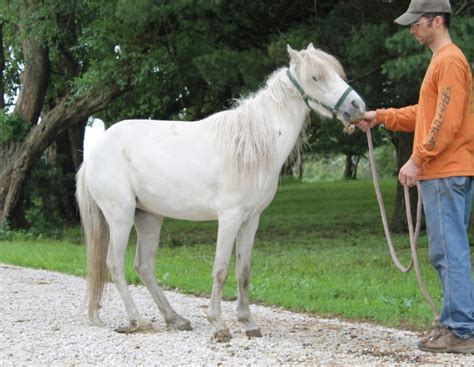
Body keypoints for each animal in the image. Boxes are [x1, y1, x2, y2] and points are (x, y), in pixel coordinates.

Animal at [75, 44, 366, 344]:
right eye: (316, 77)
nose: (357, 106)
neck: (252, 144)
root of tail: (93, 152)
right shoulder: (229, 218)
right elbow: (221, 269)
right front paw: (219, 324)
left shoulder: (251, 220)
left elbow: (243, 270)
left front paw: (248, 322)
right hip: (120, 216)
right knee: (115, 264)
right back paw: (139, 320)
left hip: (149, 217)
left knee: (144, 266)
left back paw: (175, 319)